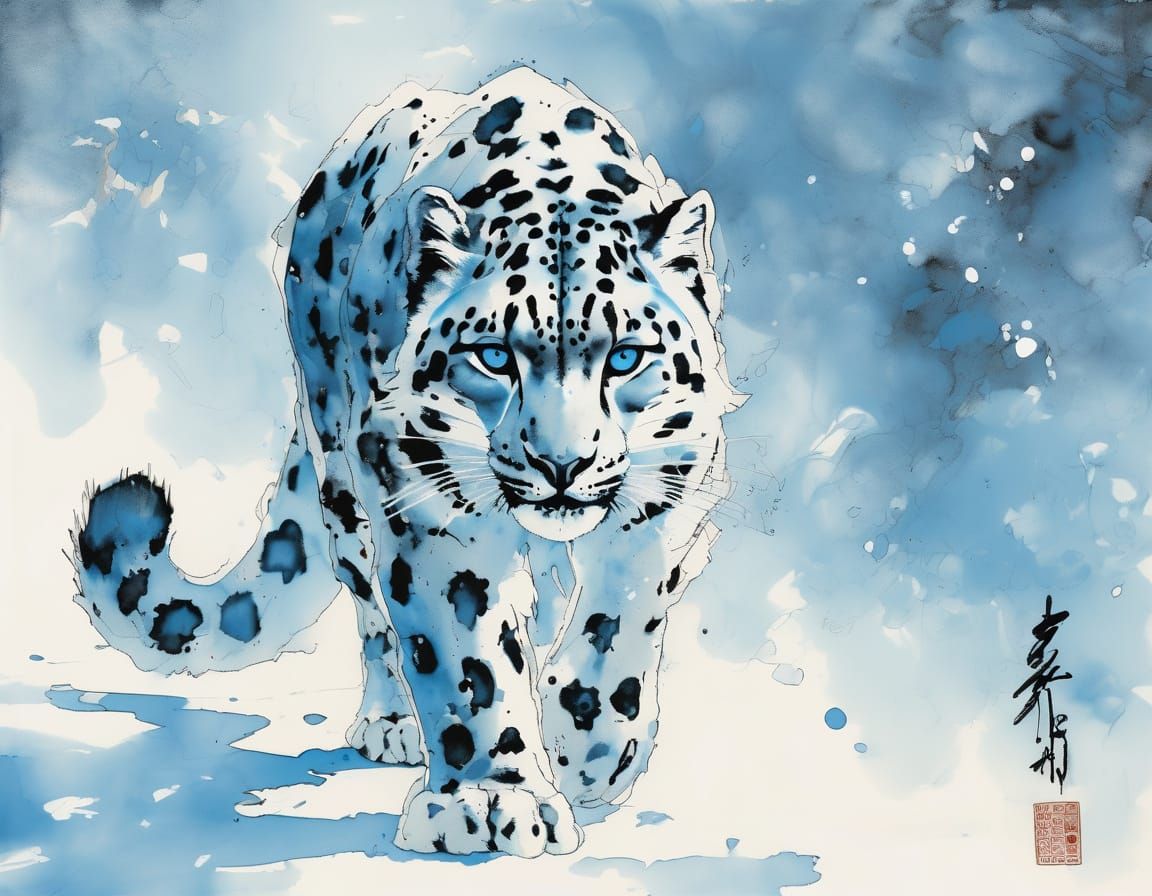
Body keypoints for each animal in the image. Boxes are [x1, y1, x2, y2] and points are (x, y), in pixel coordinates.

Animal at [73, 66, 742, 858]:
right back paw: (391, 724)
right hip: (341, 469)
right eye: (493, 356)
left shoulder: (671, 489)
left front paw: (590, 747)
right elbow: (467, 650)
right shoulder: (428, 501)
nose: (561, 463)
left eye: (627, 356)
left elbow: (625, 615)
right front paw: (492, 798)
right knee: (372, 609)